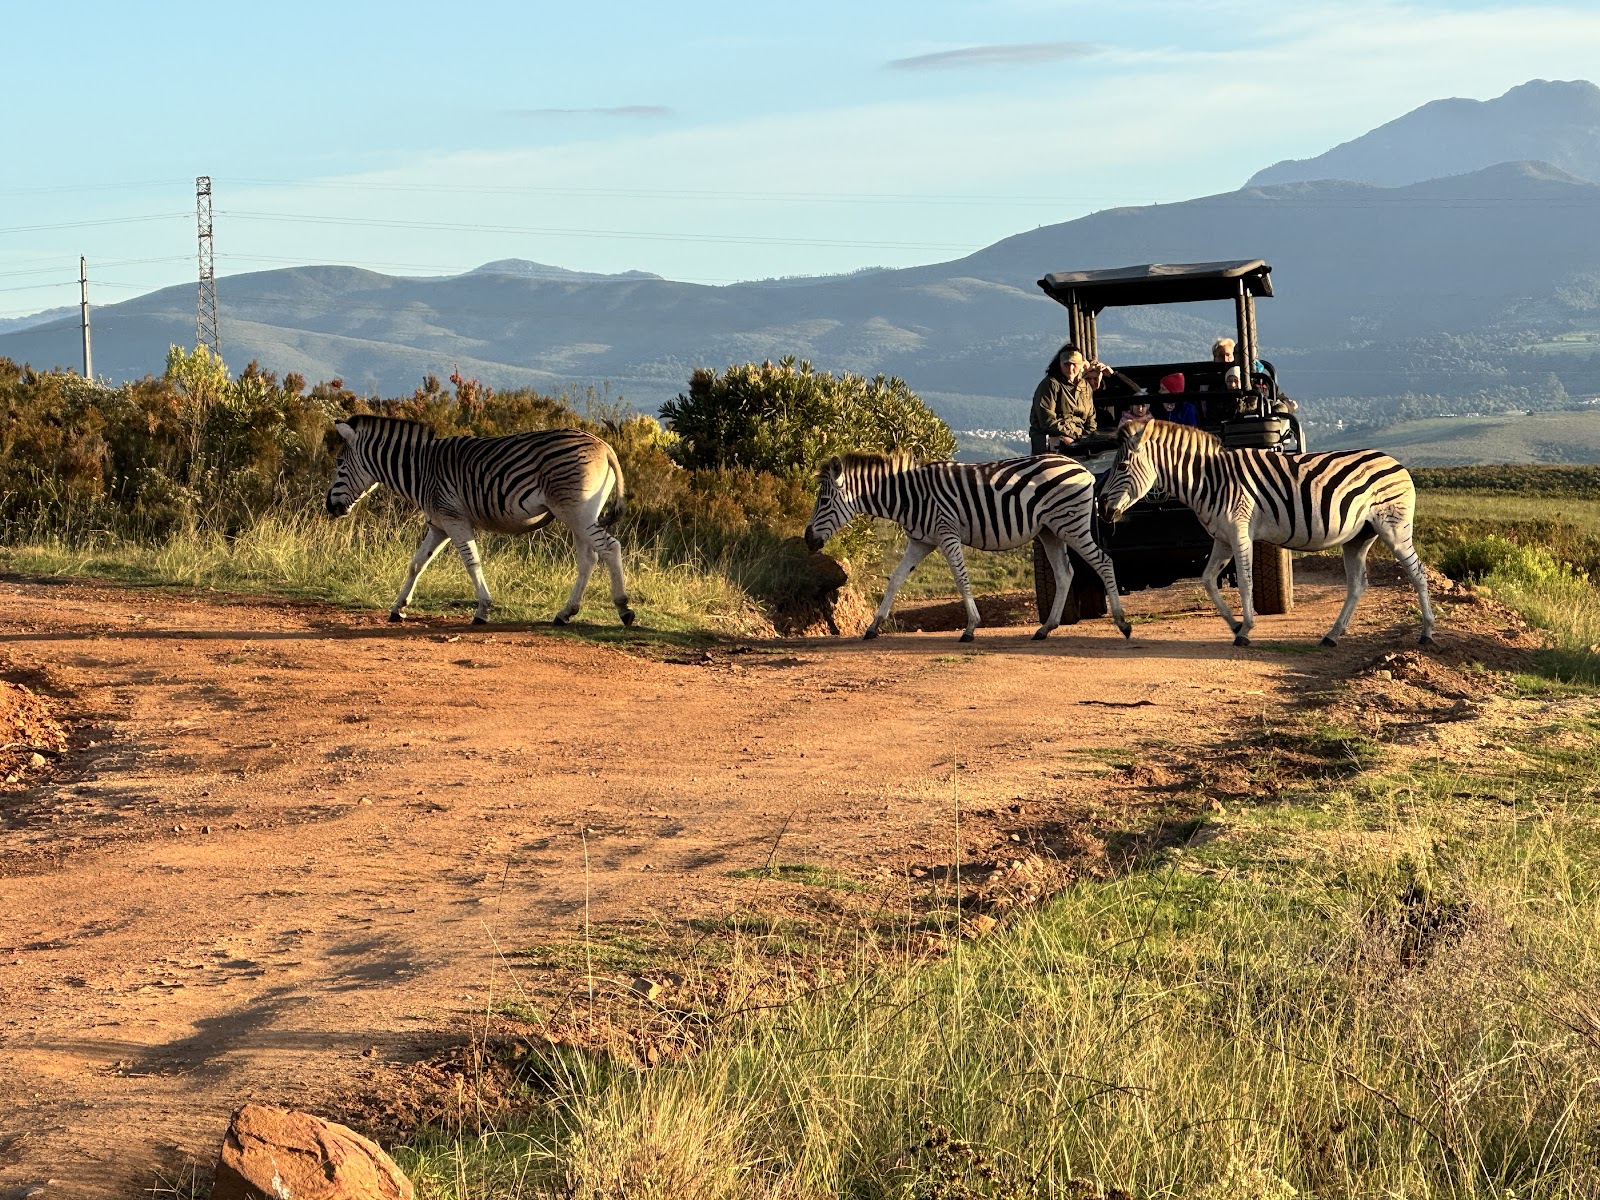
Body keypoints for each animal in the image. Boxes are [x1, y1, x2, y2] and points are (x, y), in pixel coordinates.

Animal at [325, 415, 635, 628]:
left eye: (339, 464)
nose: (329, 507)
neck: (421, 469)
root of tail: (603, 445)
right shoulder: (439, 525)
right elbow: (417, 564)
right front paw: (398, 608)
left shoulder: (454, 519)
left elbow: (471, 562)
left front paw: (483, 610)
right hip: (580, 513)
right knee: (589, 559)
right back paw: (564, 614)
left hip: (574, 511)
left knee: (610, 548)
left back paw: (623, 609)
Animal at [803, 452, 1132, 642]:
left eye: (824, 501)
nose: (807, 539)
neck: (909, 498)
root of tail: (1082, 467)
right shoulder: (921, 541)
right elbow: (895, 580)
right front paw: (873, 627)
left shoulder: (947, 533)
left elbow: (961, 580)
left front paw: (971, 627)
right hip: (1050, 530)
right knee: (1065, 574)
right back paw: (1045, 629)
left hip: (1069, 523)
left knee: (1103, 561)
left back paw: (1122, 623)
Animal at [1097, 419, 1435, 648]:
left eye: (1122, 466)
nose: (1103, 511)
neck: (1210, 479)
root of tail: (1395, 461)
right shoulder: (1221, 538)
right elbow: (1207, 580)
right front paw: (1234, 626)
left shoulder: (1239, 530)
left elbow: (1245, 582)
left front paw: (1245, 630)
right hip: (1358, 538)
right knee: (1357, 585)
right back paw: (1332, 635)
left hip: (1393, 527)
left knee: (1417, 573)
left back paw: (1427, 633)